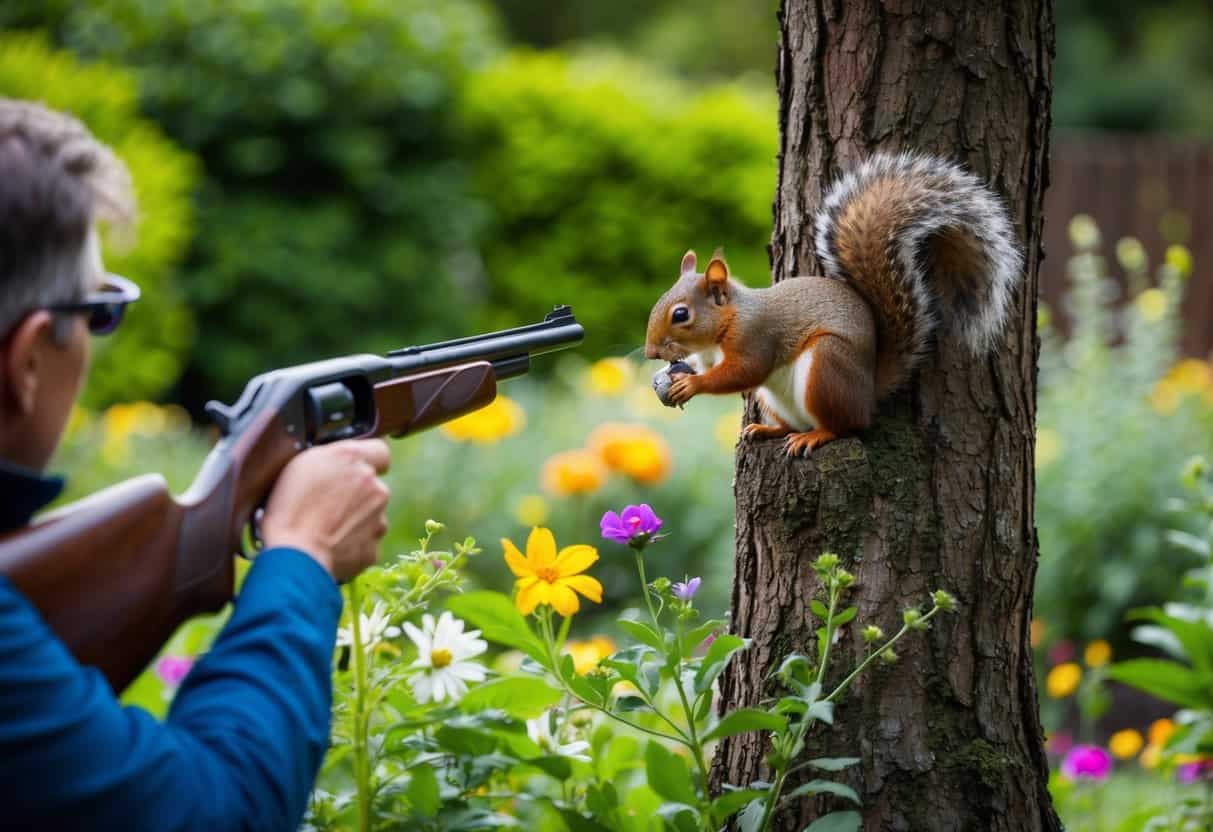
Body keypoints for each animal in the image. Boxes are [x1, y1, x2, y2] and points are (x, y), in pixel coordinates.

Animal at [644, 153, 1023, 456]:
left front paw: (693, 385)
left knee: (846, 426)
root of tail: (868, 392)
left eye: (681, 314)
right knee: (793, 423)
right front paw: (671, 375)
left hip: (827, 367)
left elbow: (744, 372)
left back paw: (816, 435)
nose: (649, 353)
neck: (724, 326)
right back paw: (767, 429)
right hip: (773, 399)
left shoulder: (756, 337)